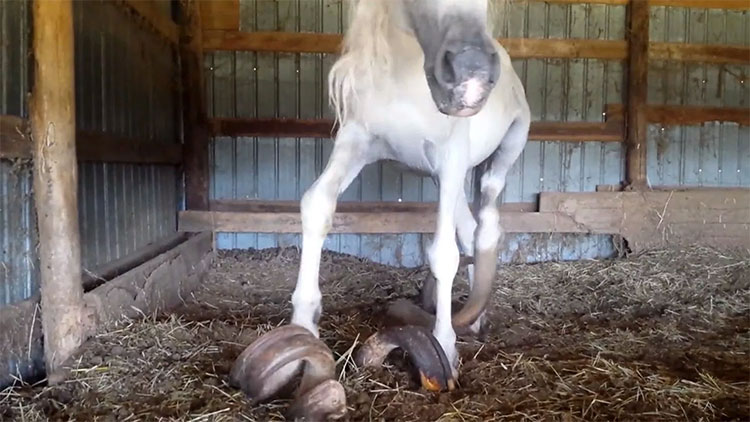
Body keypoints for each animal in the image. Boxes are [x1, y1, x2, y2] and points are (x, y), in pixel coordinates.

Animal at [229, 0, 530, 418]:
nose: (470, 75)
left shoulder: (451, 157)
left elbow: (444, 254)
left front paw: (445, 350)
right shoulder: (357, 143)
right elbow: (316, 205)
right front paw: (302, 332)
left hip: (503, 151)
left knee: (487, 219)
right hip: (440, 180)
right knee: (470, 231)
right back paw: (474, 319)